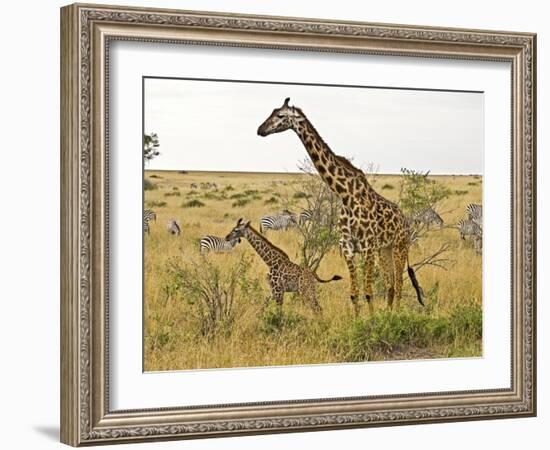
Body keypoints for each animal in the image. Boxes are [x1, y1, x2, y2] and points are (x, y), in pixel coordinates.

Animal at [256, 97, 424, 312]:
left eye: (280, 115)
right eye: (272, 112)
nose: (260, 129)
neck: (345, 194)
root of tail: (405, 220)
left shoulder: (367, 248)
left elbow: (368, 293)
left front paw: (373, 320)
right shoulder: (348, 248)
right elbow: (354, 295)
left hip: (399, 246)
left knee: (400, 284)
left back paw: (395, 315)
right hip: (384, 249)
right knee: (390, 284)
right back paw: (388, 314)